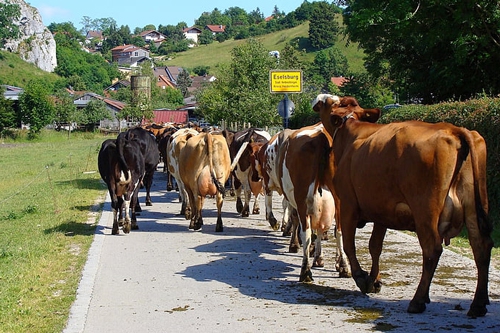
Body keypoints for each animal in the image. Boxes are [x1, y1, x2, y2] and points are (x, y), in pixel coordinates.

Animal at [312, 93, 492, 316]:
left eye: (327, 103)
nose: (317, 101)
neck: (351, 130)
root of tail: (454, 130)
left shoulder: (348, 204)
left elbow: (349, 244)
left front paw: (361, 278)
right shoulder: (382, 210)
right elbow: (375, 246)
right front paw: (374, 280)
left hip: (425, 211)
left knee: (432, 249)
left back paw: (418, 300)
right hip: (473, 208)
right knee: (481, 246)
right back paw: (478, 304)